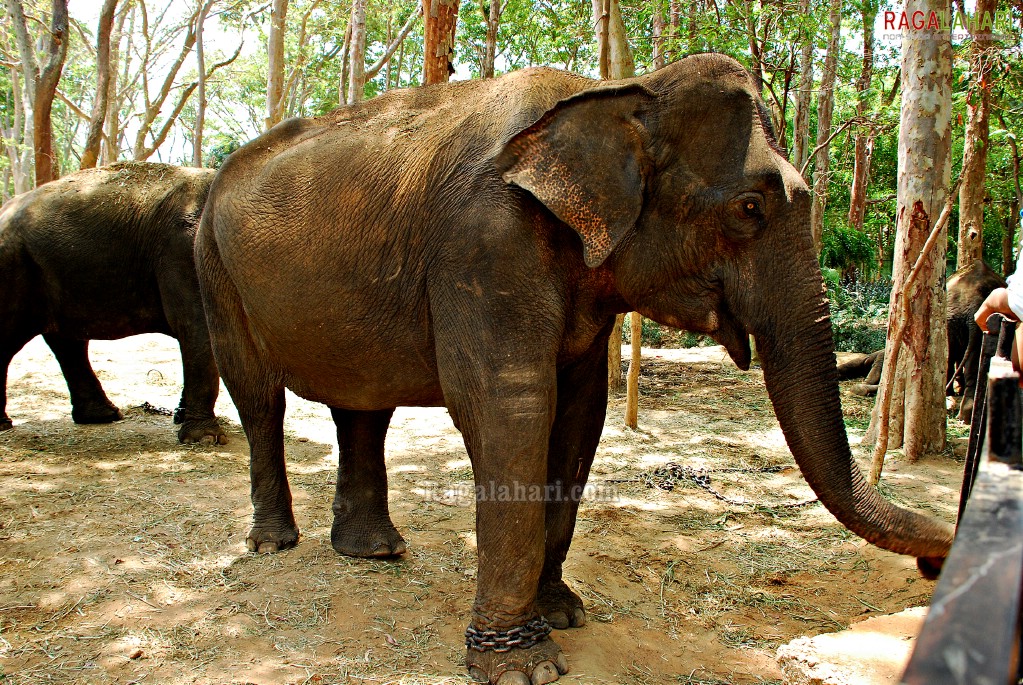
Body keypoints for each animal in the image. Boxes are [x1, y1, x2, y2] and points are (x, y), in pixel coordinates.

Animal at [0, 162, 226, 445]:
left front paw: (182, 416)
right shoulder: (185, 253)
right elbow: (197, 328)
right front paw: (205, 439)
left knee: (67, 343)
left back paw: (102, 415)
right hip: (13, 269)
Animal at [195, 54, 953, 685]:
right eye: (749, 208)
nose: (933, 562)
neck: (613, 90)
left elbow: (579, 413)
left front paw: (562, 612)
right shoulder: (484, 241)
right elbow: (514, 406)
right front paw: (521, 665)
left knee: (363, 405)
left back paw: (374, 552)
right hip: (213, 264)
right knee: (260, 398)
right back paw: (273, 542)